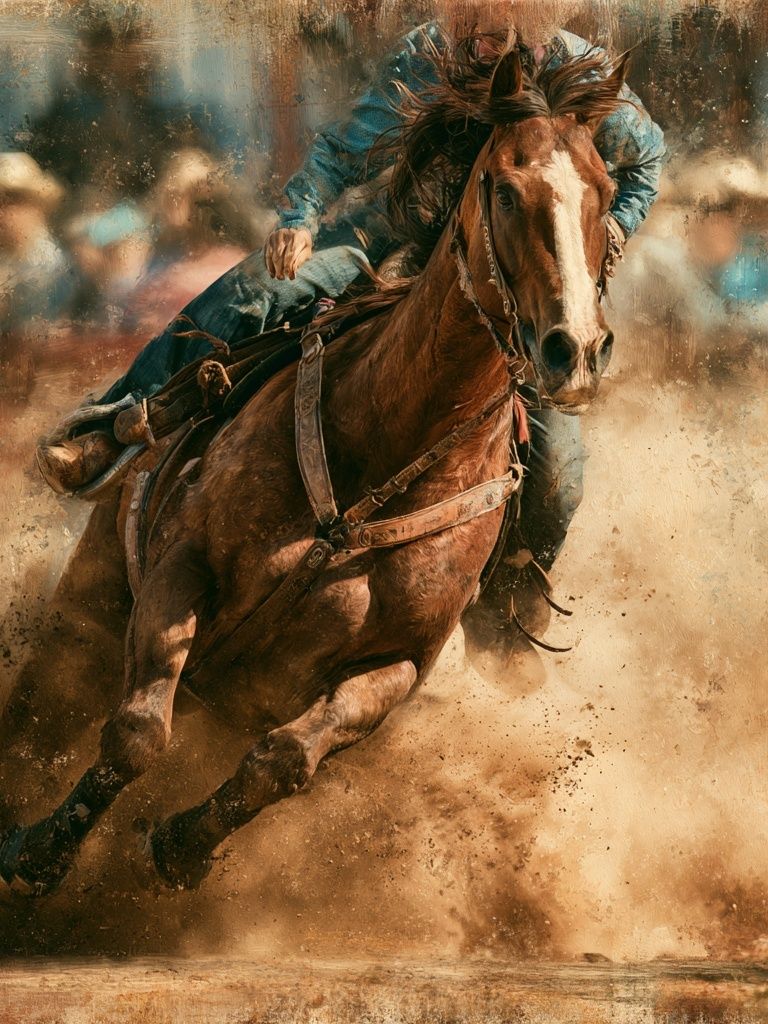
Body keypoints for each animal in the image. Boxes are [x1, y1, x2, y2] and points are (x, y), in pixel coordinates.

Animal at [0, 41, 626, 895]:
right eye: (503, 186)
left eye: (608, 194)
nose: (575, 349)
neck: (386, 447)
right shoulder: (183, 563)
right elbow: (137, 731)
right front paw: (39, 853)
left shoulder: (398, 662)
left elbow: (286, 758)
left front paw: (181, 845)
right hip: (83, 607)